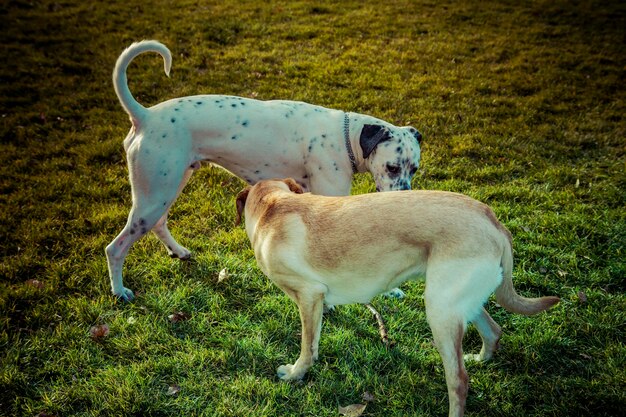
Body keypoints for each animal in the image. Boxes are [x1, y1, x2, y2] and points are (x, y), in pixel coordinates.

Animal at [107, 40, 422, 300]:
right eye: (392, 167)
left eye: (414, 169)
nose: (407, 197)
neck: (346, 137)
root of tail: (145, 116)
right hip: (153, 196)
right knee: (116, 247)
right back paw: (120, 291)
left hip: (167, 187)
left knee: (159, 224)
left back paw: (179, 252)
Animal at [235, 178, 560, 416]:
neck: (271, 208)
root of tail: (492, 219)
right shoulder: (316, 300)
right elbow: (315, 339)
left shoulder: (308, 295)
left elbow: (306, 347)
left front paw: (295, 374)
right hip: (453, 300)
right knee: (493, 331)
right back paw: (481, 359)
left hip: (439, 310)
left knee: (459, 380)